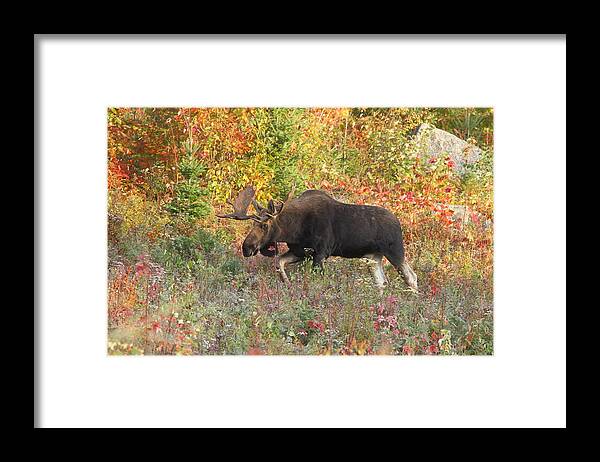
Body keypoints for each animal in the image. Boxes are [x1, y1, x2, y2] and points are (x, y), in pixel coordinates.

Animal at [218, 185, 420, 290]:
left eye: (264, 225)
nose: (246, 248)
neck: (295, 228)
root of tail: (398, 222)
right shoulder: (300, 251)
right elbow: (279, 263)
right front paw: (287, 284)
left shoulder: (321, 252)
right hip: (373, 257)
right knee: (381, 283)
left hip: (394, 251)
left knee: (411, 276)